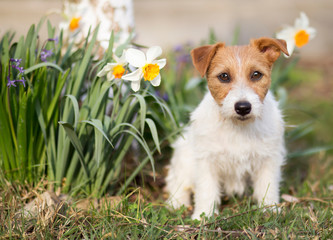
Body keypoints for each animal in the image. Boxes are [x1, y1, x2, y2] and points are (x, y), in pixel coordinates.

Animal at [165, 37, 288, 219]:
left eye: (256, 74)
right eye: (224, 76)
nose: (243, 107)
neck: (238, 127)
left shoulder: (269, 158)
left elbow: (268, 184)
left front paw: (269, 209)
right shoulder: (206, 160)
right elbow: (206, 189)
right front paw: (203, 216)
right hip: (183, 156)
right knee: (177, 180)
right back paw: (177, 203)